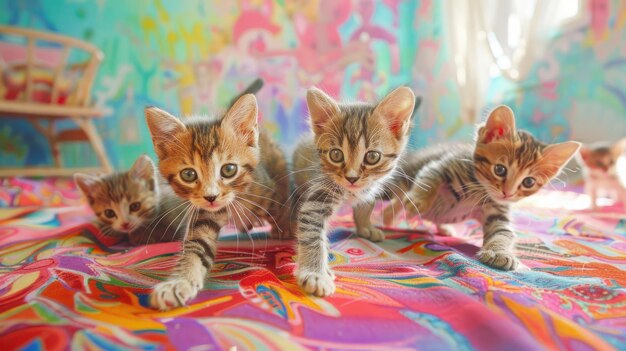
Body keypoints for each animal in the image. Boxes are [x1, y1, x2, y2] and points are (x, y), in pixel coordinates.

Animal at [144, 93, 288, 310]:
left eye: (228, 170)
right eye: (188, 174)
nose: (211, 197)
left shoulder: (266, 189)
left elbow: (283, 207)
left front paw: (290, 231)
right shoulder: (203, 214)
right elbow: (197, 248)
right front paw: (179, 283)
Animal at [292, 86, 414, 296]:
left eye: (372, 156)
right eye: (336, 154)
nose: (352, 178)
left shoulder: (370, 187)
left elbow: (366, 205)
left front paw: (365, 226)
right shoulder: (318, 196)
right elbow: (312, 234)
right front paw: (316, 274)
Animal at [380, 106, 580, 270]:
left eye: (528, 182)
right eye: (500, 170)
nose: (507, 193)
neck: (480, 191)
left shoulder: (497, 211)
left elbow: (502, 232)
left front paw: (499, 253)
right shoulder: (443, 165)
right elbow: (429, 178)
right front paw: (419, 200)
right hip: (396, 183)